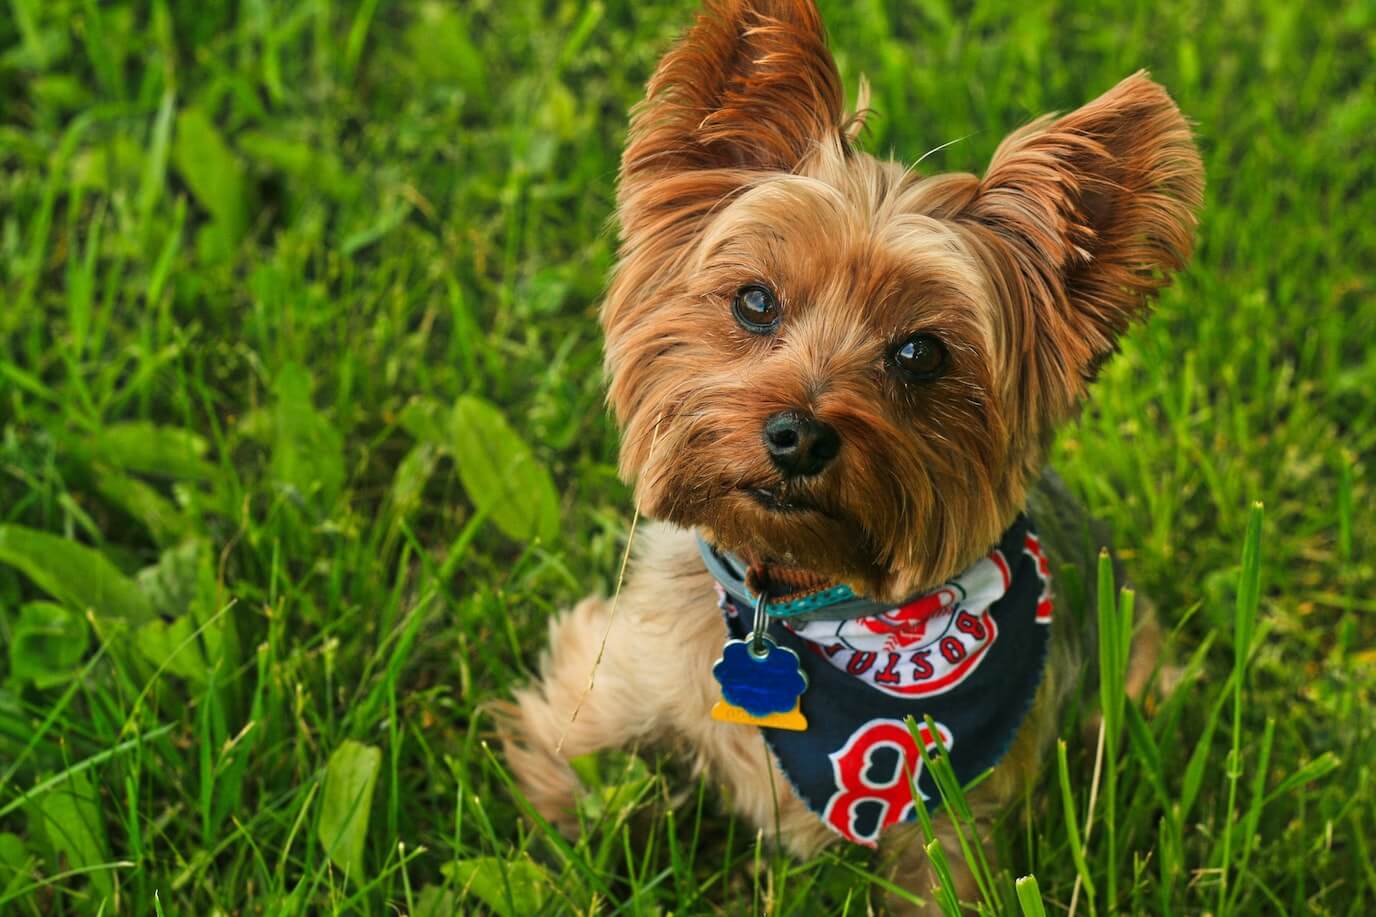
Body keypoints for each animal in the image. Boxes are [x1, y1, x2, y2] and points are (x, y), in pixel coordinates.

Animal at [498, 1, 1205, 908]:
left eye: (921, 353)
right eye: (755, 301)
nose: (798, 434)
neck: (795, 602)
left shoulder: (955, 825)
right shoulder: (609, 674)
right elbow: (566, 782)